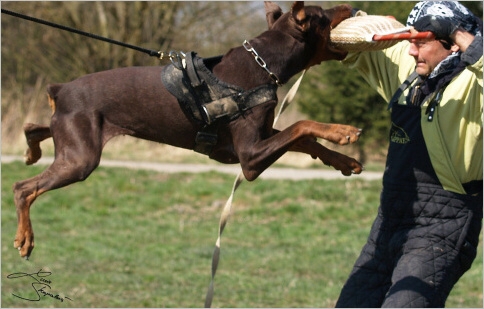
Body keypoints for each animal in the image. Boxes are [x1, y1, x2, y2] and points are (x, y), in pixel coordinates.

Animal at [11, 1, 362, 258]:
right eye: (323, 14)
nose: (350, 6)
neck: (264, 64)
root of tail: (61, 90)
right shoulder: (248, 158)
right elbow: (302, 126)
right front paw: (342, 131)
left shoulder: (257, 139)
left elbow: (305, 140)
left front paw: (344, 160)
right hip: (81, 158)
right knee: (23, 188)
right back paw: (25, 237)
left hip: (74, 139)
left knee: (35, 128)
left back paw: (31, 149)